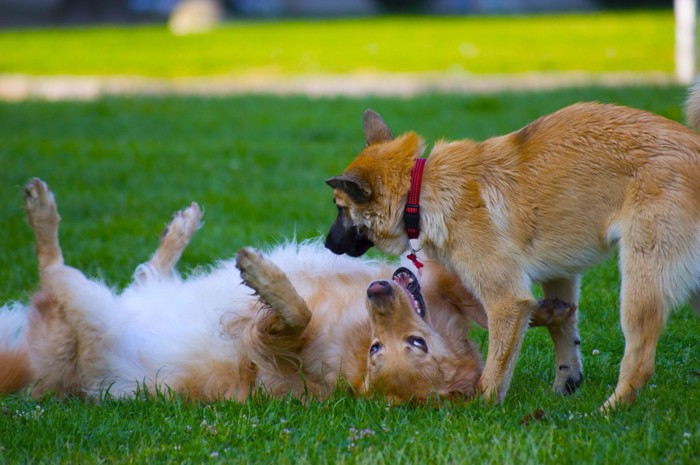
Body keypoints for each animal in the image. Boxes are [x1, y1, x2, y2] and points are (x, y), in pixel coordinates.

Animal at [326, 88, 700, 410]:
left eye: (340, 208)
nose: (327, 244)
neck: (418, 191)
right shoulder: (559, 276)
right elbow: (562, 330)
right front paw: (566, 383)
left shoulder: (506, 300)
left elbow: (496, 365)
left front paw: (483, 406)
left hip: (640, 284)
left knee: (641, 360)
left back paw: (610, 409)